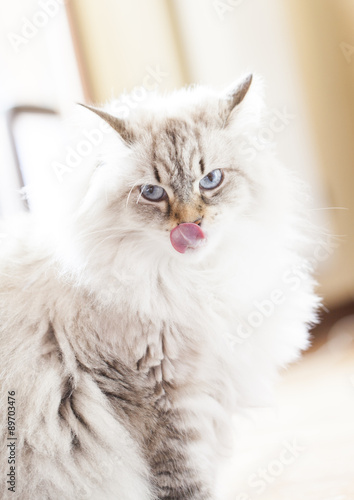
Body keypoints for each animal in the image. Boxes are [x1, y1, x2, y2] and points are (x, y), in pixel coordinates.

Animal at [0, 75, 320, 500]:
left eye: (211, 180)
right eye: (152, 193)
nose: (191, 225)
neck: (187, 282)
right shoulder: (156, 406)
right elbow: (187, 487)